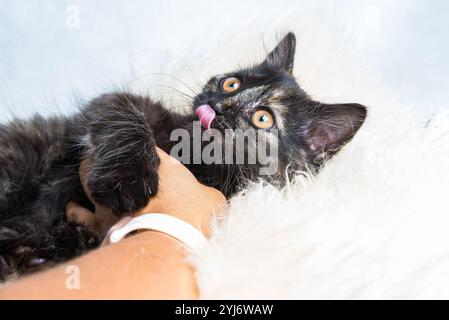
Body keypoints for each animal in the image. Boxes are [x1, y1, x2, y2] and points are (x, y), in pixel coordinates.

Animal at [0, 31, 364, 278]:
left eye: (263, 118)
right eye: (231, 84)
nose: (217, 105)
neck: (193, 158)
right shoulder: (113, 104)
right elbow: (126, 117)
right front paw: (126, 179)